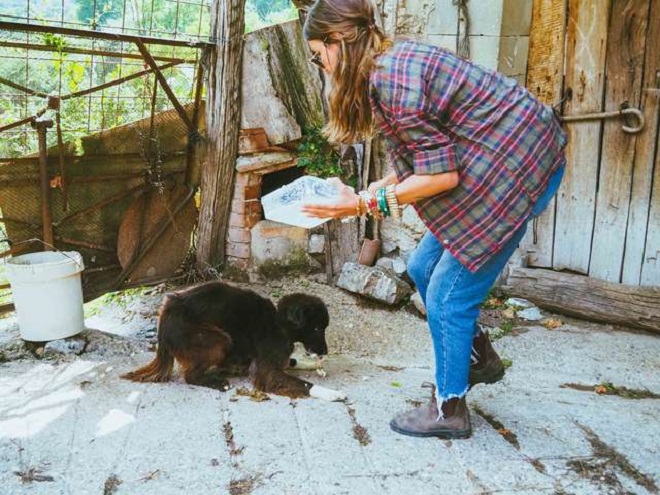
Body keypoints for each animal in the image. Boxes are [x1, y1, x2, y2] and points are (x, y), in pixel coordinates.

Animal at [120, 282, 332, 400]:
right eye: (316, 328)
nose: (325, 352)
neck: (279, 323)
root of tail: (165, 315)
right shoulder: (266, 371)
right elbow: (303, 384)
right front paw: (332, 394)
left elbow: (293, 361)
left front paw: (314, 364)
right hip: (219, 339)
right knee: (190, 376)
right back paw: (219, 382)